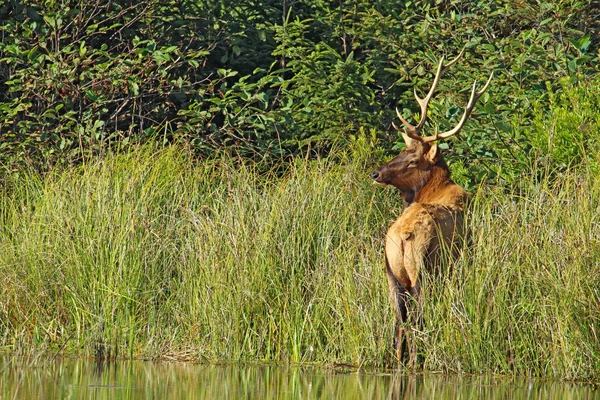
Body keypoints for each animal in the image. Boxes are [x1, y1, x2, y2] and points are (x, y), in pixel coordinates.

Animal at [370, 51, 492, 364]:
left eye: (412, 158)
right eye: (402, 151)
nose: (376, 173)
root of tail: (401, 236)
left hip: (391, 273)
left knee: (398, 320)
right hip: (423, 270)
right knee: (417, 316)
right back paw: (417, 359)